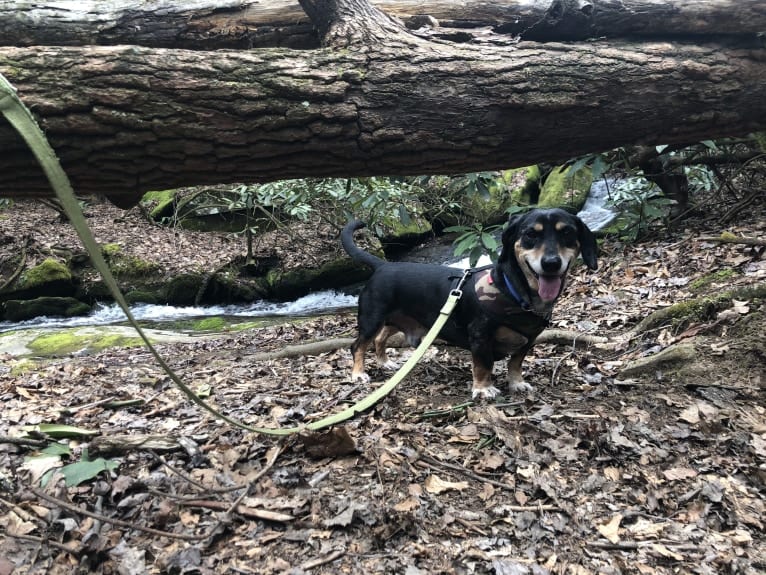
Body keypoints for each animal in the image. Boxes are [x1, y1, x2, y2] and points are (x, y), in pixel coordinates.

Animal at [342, 208, 600, 400]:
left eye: (567, 232)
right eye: (530, 234)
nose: (551, 263)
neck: (513, 291)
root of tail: (383, 265)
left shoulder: (529, 339)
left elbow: (515, 363)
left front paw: (517, 383)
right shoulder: (480, 335)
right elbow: (483, 365)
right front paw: (483, 389)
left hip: (394, 320)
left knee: (379, 339)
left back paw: (384, 362)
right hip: (372, 318)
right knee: (359, 345)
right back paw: (358, 374)